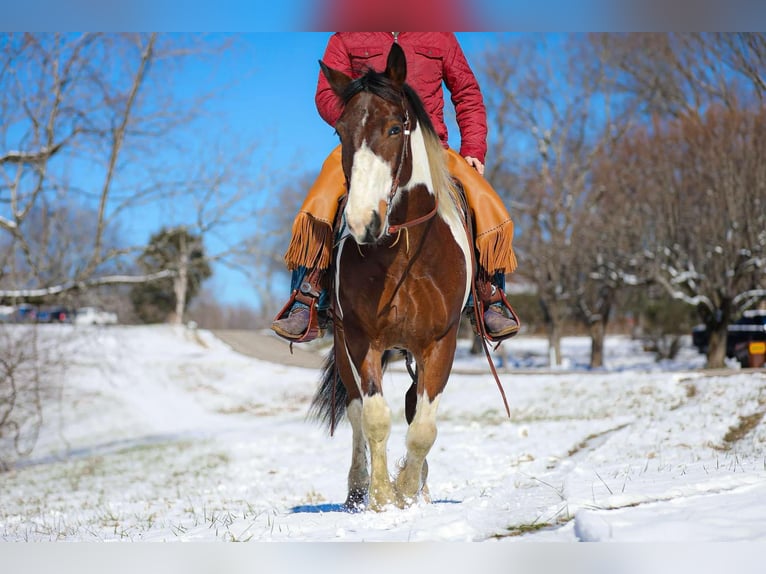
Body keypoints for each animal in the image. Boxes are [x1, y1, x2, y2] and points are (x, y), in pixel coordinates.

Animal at [309, 43, 473, 511]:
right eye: (340, 132)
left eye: (395, 127)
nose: (362, 221)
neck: (402, 254)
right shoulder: (360, 338)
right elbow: (375, 417)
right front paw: (382, 497)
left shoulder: (441, 342)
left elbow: (423, 427)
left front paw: (409, 491)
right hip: (344, 346)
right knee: (355, 412)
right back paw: (357, 490)